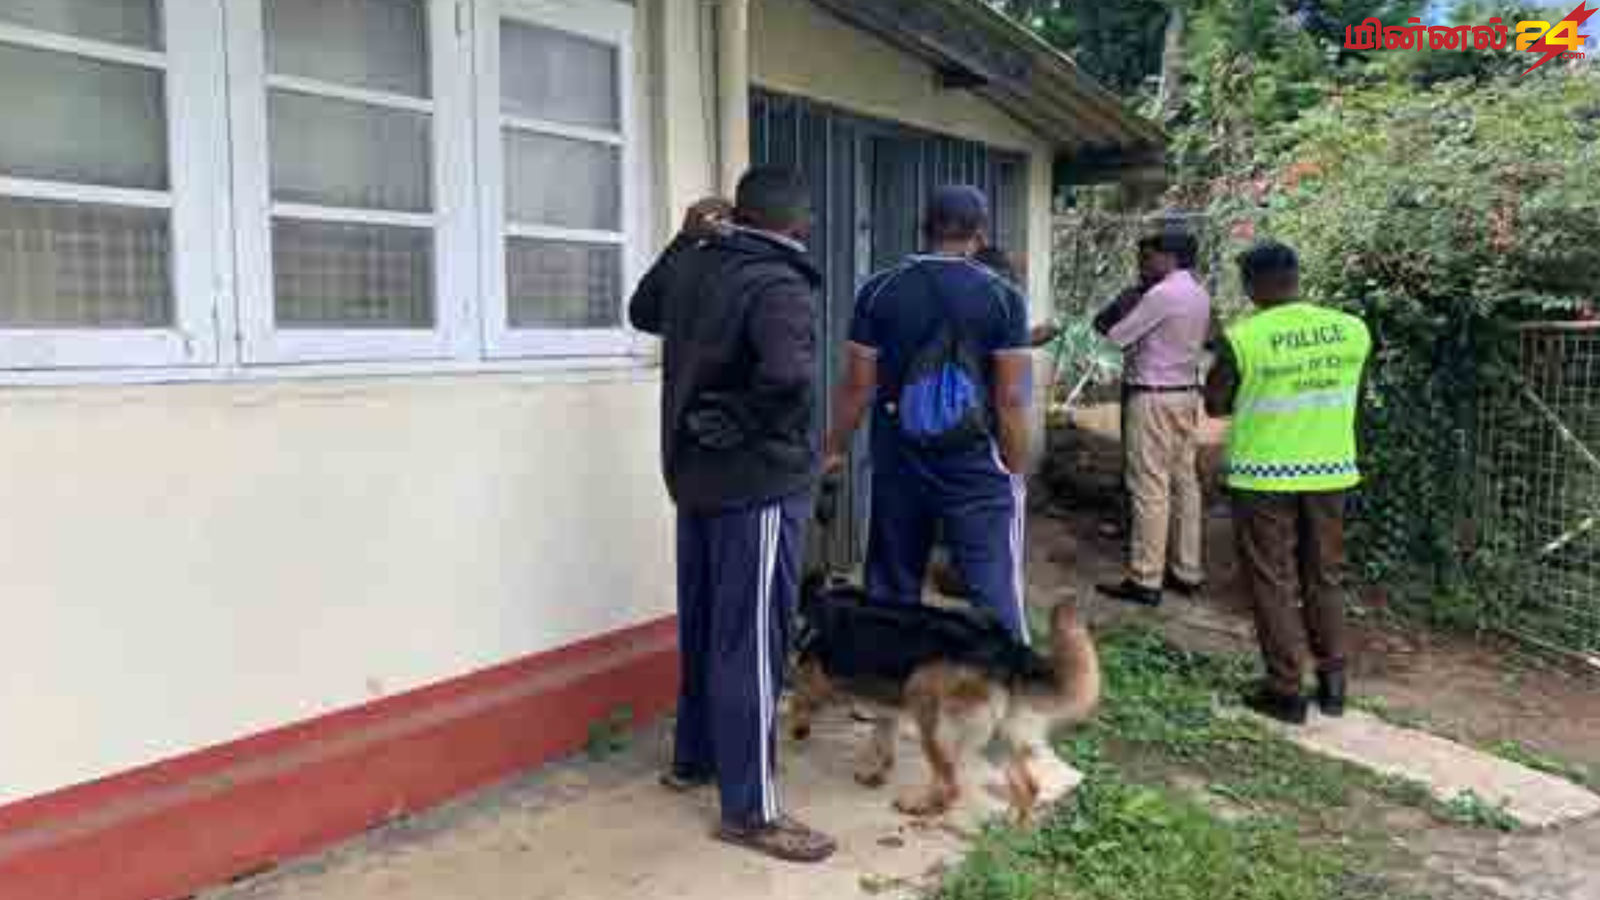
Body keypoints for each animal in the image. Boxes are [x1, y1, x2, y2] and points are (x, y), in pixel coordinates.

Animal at [787, 575, 1100, 825]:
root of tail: (1007, 648)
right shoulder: (888, 707)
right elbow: (882, 739)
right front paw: (876, 773)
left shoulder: (816, 678)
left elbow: (800, 699)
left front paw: (797, 728)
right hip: (999, 732)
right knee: (1028, 785)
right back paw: (1014, 830)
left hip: (927, 705)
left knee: (951, 786)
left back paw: (920, 807)